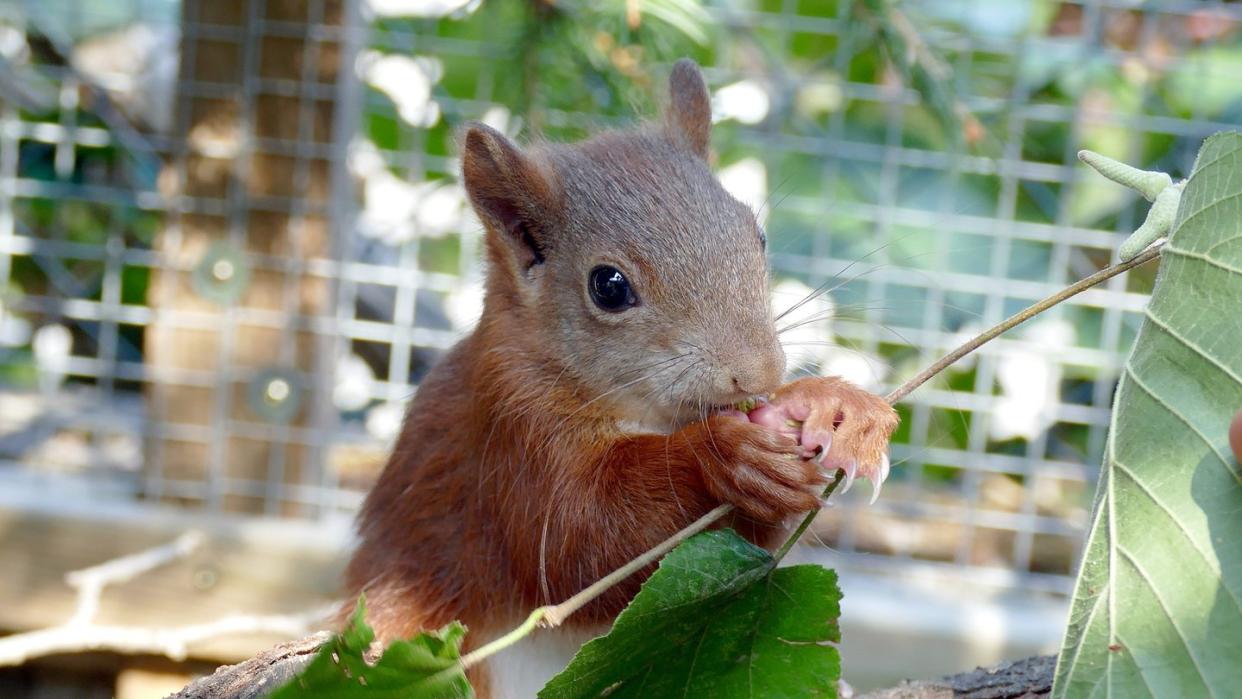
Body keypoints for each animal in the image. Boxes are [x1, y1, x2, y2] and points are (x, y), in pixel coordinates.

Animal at [345, 61, 899, 699]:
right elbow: (581, 544)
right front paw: (722, 455)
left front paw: (834, 406)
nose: (756, 371)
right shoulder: (510, 427)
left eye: (756, 236)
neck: (647, 413)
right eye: (608, 287)